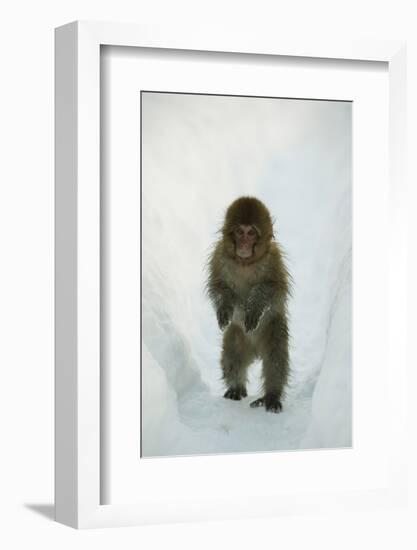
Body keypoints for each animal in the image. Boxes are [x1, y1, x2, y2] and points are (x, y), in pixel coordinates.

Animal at [205, 197, 290, 414]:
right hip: (238, 336)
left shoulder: (274, 259)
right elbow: (218, 286)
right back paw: (236, 388)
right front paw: (224, 307)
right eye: (239, 231)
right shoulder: (219, 255)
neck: (245, 263)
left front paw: (254, 307)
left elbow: (274, 289)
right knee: (232, 353)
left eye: (251, 232)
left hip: (273, 329)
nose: (243, 243)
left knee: (275, 355)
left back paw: (271, 396)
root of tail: (255, 351)